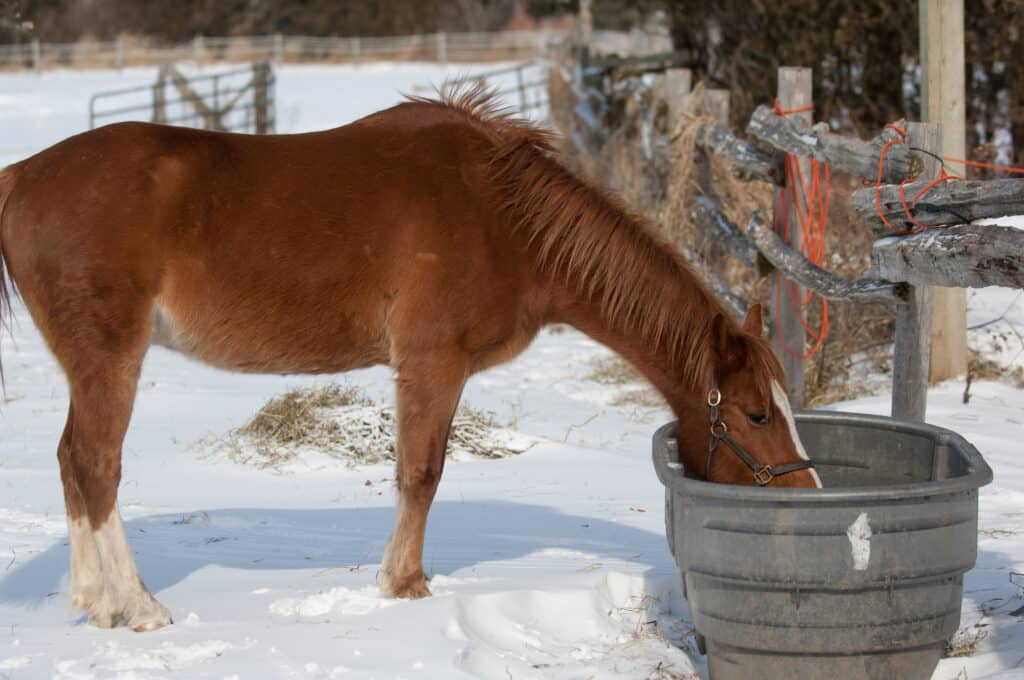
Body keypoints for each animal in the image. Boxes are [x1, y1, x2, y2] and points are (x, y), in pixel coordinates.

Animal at [0, 87, 819, 632]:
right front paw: (405, 586)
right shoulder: (432, 362)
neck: (502, 217)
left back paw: (93, 601)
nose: (804, 493)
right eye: (755, 414)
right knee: (95, 463)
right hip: (111, 358)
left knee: (72, 461)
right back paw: (136, 606)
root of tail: (20, 176)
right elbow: (421, 473)